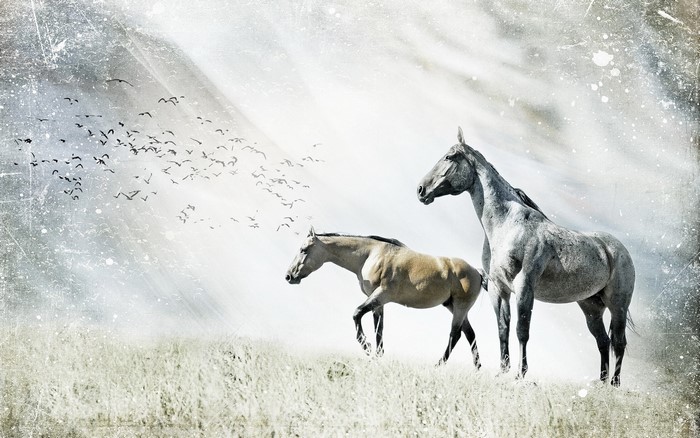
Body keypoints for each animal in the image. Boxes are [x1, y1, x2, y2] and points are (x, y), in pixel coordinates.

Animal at [285, 227, 483, 368]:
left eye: (303, 249)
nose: (289, 276)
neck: (371, 254)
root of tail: (478, 272)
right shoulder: (378, 303)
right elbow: (379, 329)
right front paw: (377, 357)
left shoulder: (381, 295)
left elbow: (357, 314)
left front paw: (367, 347)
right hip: (453, 307)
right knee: (470, 334)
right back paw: (476, 369)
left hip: (460, 307)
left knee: (455, 334)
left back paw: (438, 365)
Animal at [417, 127, 635, 386]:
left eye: (449, 157)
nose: (421, 190)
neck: (507, 225)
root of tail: (618, 250)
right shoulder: (498, 288)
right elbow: (503, 327)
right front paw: (502, 370)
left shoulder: (524, 286)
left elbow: (522, 329)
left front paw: (520, 374)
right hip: (591, 307)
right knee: (603, 341)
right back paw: (600, 383)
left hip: (617, 305)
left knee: (618, 342)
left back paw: (614, 385)